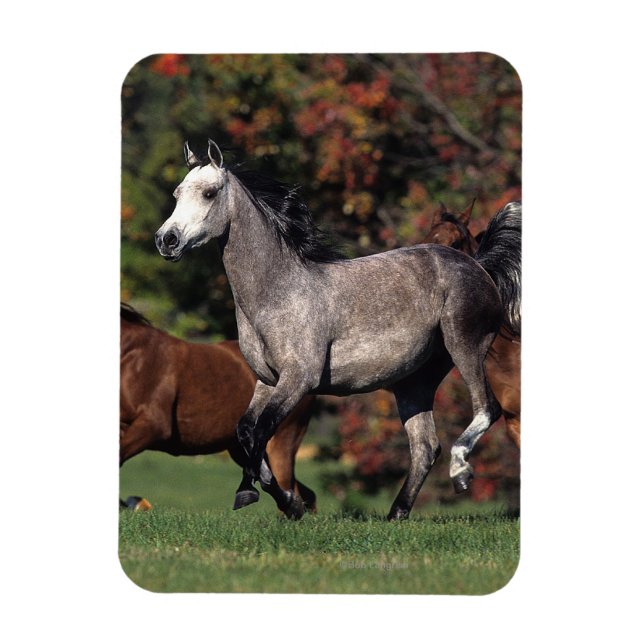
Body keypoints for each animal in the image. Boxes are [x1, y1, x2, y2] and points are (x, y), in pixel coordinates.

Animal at [120, 303, 316, 518]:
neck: (133, 357)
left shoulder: (155, 426)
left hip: (282, 442)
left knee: (288, 489)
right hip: (244, 451)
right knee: (302, 493)